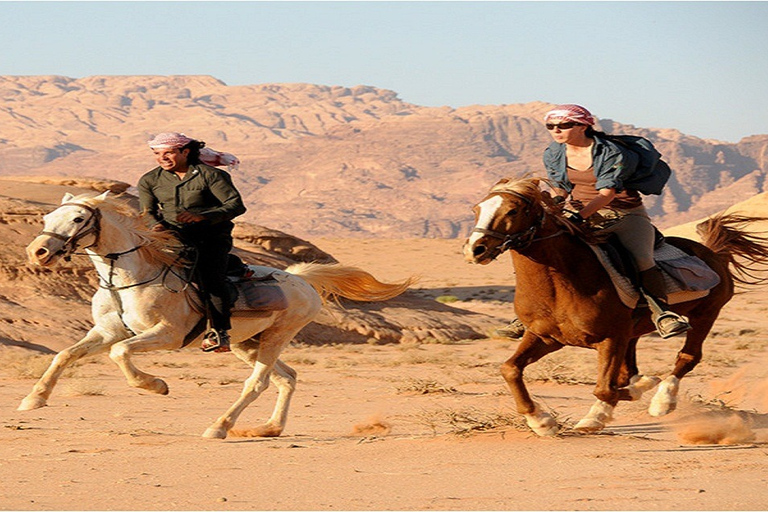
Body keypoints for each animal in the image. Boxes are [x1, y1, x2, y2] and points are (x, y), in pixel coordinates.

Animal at [19, 192, 414, 440]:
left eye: (78, 218)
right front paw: (33, 399)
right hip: (245, 344)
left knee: (258, 383)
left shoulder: (167, 335)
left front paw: (156, 385)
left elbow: (121, 354)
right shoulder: (105, 331)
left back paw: (220, 427)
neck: (129, 277)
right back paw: (269, 429)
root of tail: (301, 278)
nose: (38, 252)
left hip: (276, 337)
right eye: (46, 217)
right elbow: (64, 354)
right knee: (287, 378)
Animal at [462, 178, 768, 434]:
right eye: (477, 209)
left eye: (513, 211)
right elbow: (510, 369)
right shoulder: (546, 337)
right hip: (632, 332)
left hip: (705, 315)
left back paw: (661, 401)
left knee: (687, 357)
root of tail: (714, 253)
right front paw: (542, 421)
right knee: (627, 371)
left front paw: (639, 391)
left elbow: (605, 388)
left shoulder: (609, 339)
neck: (562, 282)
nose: (475, 249)